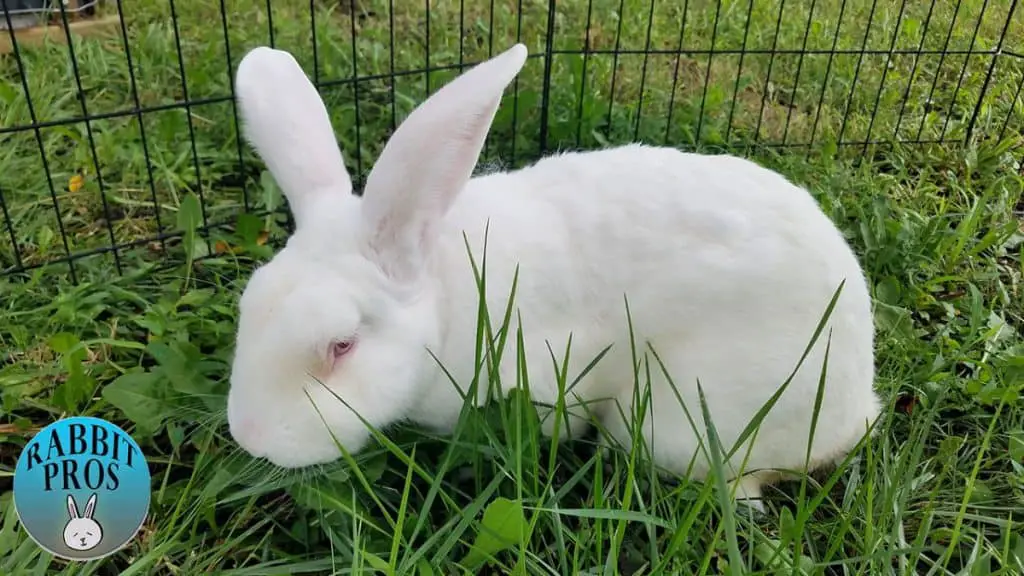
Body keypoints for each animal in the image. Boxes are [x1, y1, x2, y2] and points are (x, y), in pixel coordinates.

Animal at [224, 42, 880, 508]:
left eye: (342, 345)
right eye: (248, 309)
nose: (249, 435)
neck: (445, 303)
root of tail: (857, 406)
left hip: (681, 422)